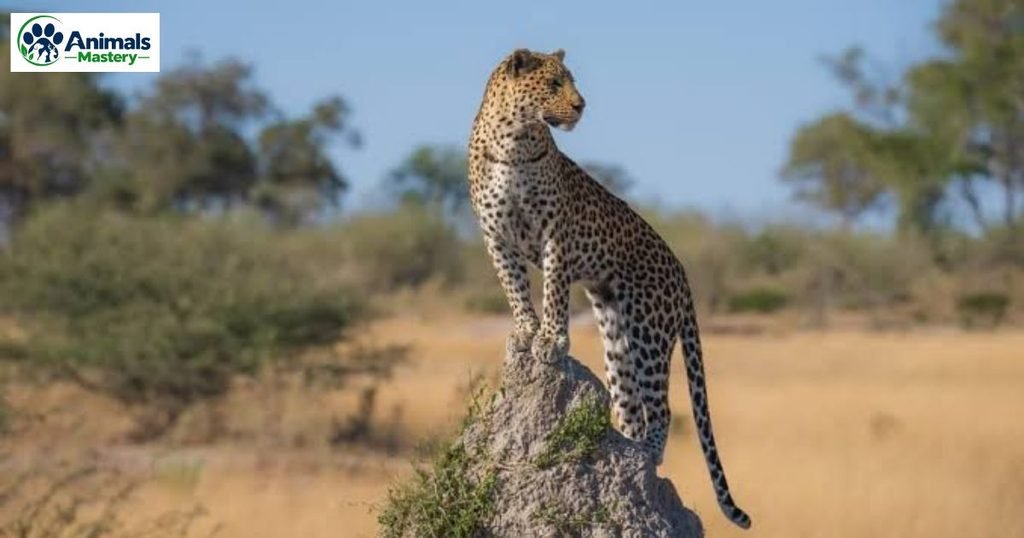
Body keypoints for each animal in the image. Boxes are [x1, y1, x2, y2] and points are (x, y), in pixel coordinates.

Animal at [466, 48, 751, 529]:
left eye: (572, 82)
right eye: (553, 84)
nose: (581, 106)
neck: (514, 140)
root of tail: (682, 272)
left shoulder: (554, 232)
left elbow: (554, 292)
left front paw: (551, 341)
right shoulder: (496, 236)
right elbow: (515, 288)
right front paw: (525, 332)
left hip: (649, 329)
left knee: (661, 408)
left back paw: (647, 457)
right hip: (616, 336)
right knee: (631, 408)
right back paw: (631, 447)